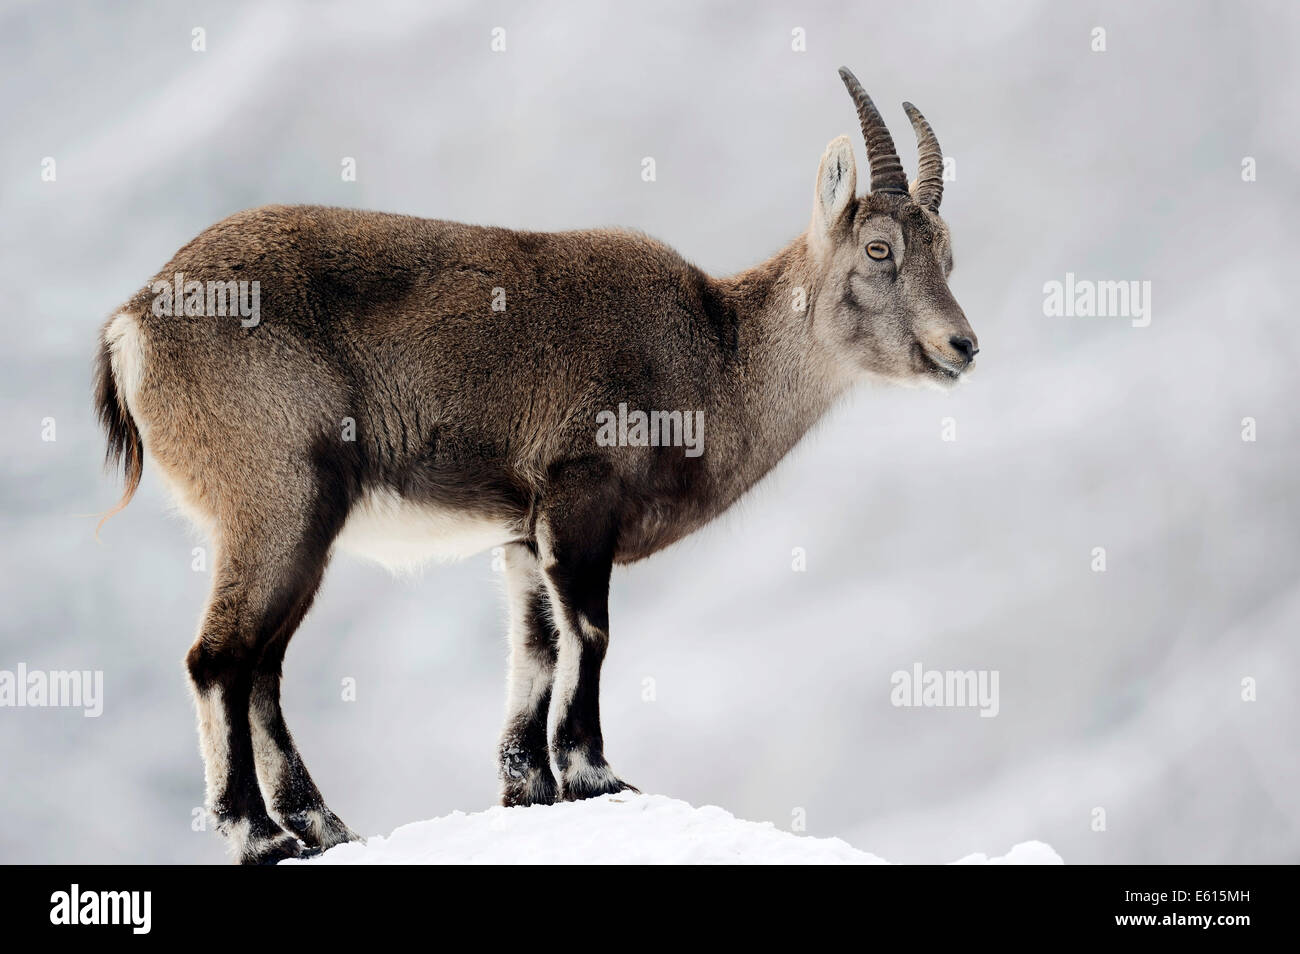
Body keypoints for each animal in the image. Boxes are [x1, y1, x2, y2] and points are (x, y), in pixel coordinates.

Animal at [94, 67, 978, 863]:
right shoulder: (581, 497)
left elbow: (536, 647)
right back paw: (258, 835)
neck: (713, 355)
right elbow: (591, 632)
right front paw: (594, 773)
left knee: (263, 667)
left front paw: (528, 786)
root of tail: (134, 322)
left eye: (948, 253)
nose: (961, 345)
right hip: (280, 501)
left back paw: (324, 826)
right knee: (220, 660)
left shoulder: (523, 532)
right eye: (879, 248)